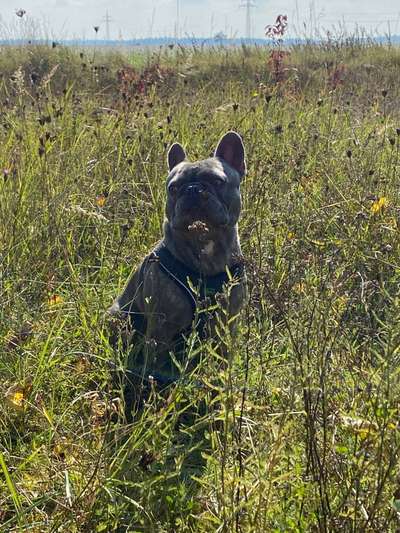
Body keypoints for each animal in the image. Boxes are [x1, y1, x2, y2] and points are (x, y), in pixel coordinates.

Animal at [108, 132, 247, 412]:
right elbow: (155, 365)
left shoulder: (228, 326)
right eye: (173, 188)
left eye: (218, 181)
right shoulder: (161, 329)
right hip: (121, 317)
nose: (192, 190)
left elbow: (222, 365)